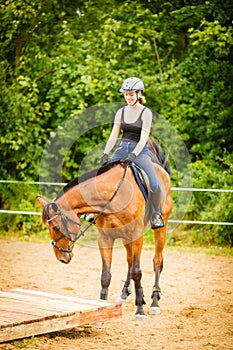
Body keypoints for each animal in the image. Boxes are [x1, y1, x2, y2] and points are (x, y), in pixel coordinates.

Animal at [37, 138, 172, 318]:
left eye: (57, 228)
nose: (61, 257)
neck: (114, 194)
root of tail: (161, 170)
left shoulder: (136, 235)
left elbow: (138, 272)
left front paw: (140, 310)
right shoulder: (105, 238)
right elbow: (106, 275)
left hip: (160, 229)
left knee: (157, 261)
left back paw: (155, 301)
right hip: (125, 237)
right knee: (130, 262)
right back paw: (124, 294)